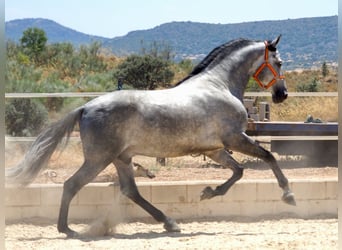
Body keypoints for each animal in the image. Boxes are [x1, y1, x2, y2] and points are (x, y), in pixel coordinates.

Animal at [5, 34, 296, 236]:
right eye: (280, 62)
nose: (282, 95)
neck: (218, 85)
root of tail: (86, 107)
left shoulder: (215, 149)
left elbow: (238, 171)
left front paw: (208, 192)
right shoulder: (235, 139)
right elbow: (268, 157)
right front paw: (288, 195)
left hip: (121, 158)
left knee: (130, 190)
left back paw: (169, 223)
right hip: (99, 159)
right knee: (71, 185)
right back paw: (67, 229)